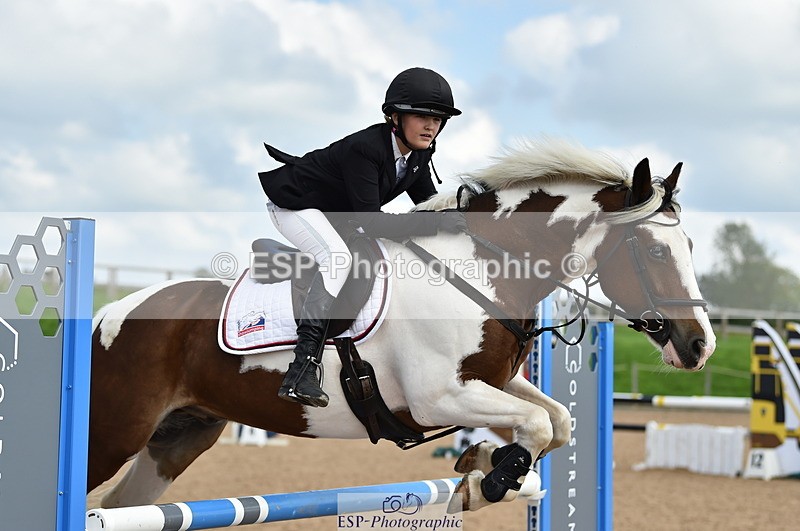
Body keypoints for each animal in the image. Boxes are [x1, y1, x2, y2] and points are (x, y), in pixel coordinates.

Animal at [87, 139, 716, 512]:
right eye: (654, 252)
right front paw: (488, 481)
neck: (485, 267)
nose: (699, 346)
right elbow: (538, 425)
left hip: (177, 437)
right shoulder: (436, 397)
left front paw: (481, 469)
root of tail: (105, 315)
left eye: (687, 246)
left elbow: (555, 421)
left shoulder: (491, 383)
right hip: (112, 433)